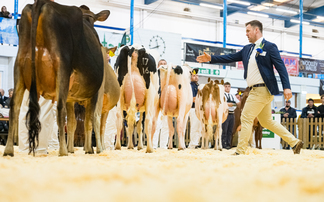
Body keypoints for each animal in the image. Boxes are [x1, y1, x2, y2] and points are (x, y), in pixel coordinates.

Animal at [3, 0, 111, 156]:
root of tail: (43, 3)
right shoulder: (94, 93)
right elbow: (88, 122)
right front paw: (89, 149)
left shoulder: (71, 98)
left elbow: (72, 122)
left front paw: (75, 149)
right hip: (62, 68)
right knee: (60, 109)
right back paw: (63, 151)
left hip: (19, 66)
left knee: (14, 107)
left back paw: (8, 150)